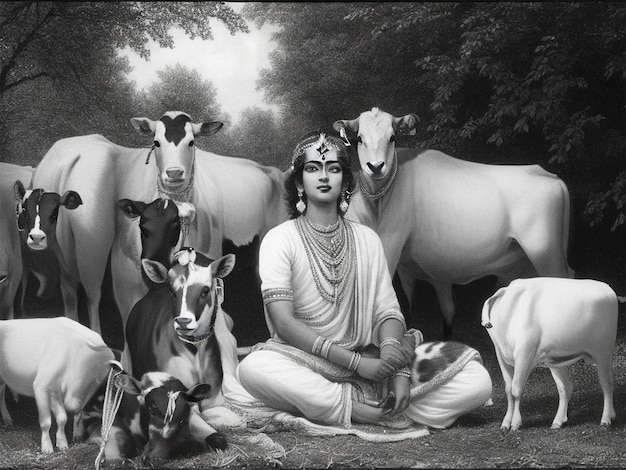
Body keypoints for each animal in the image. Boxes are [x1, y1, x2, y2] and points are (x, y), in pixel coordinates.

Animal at [0, 316, 114, 452]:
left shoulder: (56, 390)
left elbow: (62, 418)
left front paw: (63, 444)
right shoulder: (41, 386)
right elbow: (46, 422)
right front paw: (47, 448)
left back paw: (8, 421)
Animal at [32, 111, 288, 346]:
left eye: (191, 142)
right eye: (156, 143)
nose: (174, 173)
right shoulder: (124, 279)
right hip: (90, 246)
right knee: (86, 294)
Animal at [334, 108, 572, 338]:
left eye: (392, 137)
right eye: (359, 138)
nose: (375, 166)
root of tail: (550, 176)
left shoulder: (391, 243)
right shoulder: (410, 267)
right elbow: (423, 311)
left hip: (545, 252)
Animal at [480, 278, 616, 432]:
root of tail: (607, 289)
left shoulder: (524, 353)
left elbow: (516, 389)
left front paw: (515, 423)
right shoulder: (500, 354)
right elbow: (508, 390)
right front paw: (505, 423)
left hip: (603, 352)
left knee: (607, 383)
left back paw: (606, 419)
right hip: (557, 360)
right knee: (565, 387)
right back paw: (558, 421)